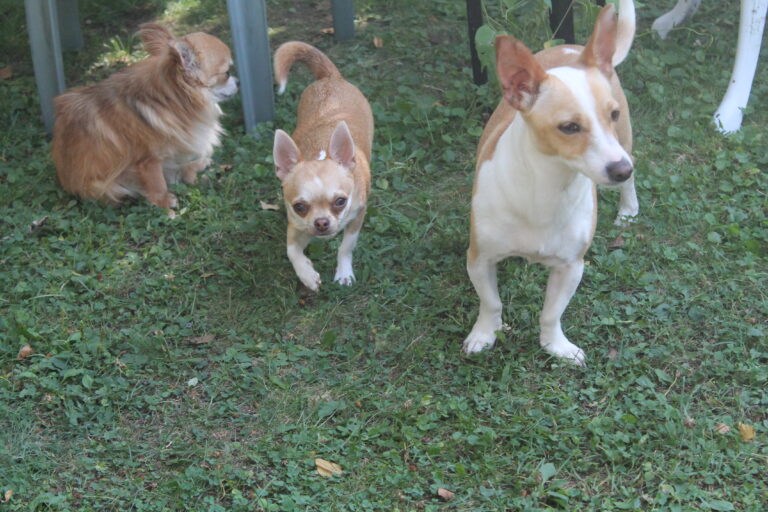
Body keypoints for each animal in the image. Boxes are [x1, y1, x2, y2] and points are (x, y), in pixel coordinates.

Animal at [51, 23, 237, 216]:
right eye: (227, 73)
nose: (237, 82)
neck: (166, 99)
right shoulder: (147, 161)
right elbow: (157, 184)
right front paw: (164, 207)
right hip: (106, 186)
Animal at [274, 42, 374, 290]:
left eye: (340, 201)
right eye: (299, 206)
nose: (321, 223)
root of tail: (330, 77)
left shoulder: (357, 216)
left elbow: (346, 247)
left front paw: (344, 272)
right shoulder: (296, 226)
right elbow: (291, 251)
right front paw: (307, 275)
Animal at [462, 2, 636, 366]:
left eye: (611, 115)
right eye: (569, 127)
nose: (621, 170)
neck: (548, 188)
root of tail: (572, 47)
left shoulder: (571, 267)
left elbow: (551, 313)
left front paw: (556, 346)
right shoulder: (479, 258)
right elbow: (491, 302)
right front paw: (485, 334)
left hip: (626, 142)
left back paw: (628, 209)